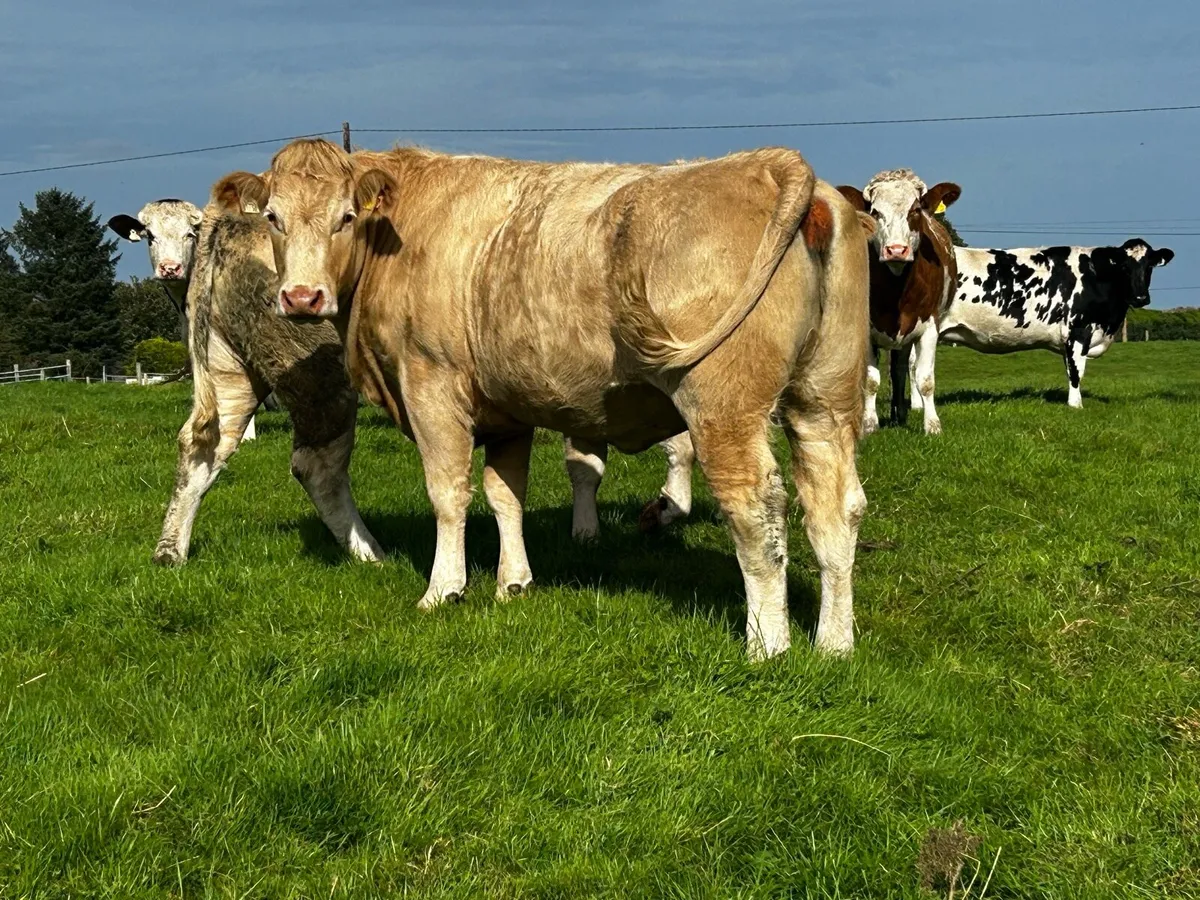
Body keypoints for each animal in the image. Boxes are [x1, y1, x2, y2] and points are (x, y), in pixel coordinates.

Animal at [122, 201, 384, 567]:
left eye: (189, 234)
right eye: (149, 236)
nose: (169, 268)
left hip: (227, 370)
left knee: (202, 445)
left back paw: (170, 552)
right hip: (319, 373)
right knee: (316, 466)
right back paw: (373, 555)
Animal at [211, 138, 873, 659]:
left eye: (346, 217)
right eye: (273, 217)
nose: (301, 298)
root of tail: (774, 164)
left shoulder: (431, 386)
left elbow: (448, 493)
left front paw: (443, 589)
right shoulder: (508, 409)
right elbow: (506, 495)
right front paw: (514, 582)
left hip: (724, 406)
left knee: (756, 507)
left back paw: (769, 645)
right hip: (824, 397)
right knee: (835, 508)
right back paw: (833, 644)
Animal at [910, 238, 1175, 409]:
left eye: (1149, 266)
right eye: (1123, 266)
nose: (1140, 298)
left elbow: (1070, 370)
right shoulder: (1078, 332)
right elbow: (1076, 373)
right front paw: (1075, 405)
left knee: (912, 366)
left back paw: (916, 407)